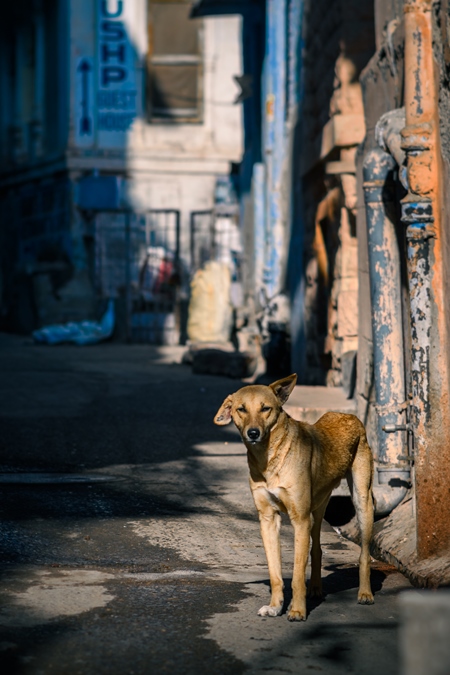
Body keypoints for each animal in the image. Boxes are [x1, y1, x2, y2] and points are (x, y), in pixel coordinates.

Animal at [214, 374, 372, 624]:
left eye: (265, 408)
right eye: (241, 409)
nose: (253, 433)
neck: (270, 458)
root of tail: (348, 415)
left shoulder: (299, 519)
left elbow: (297, 575)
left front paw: (297, 610)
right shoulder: (268, 519)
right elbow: (275, 573)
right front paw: (275, 606)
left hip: (361, 501)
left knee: (364, 554)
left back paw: (365, 593)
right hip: (317, 510)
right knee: (317, 549)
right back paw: (316, 589)